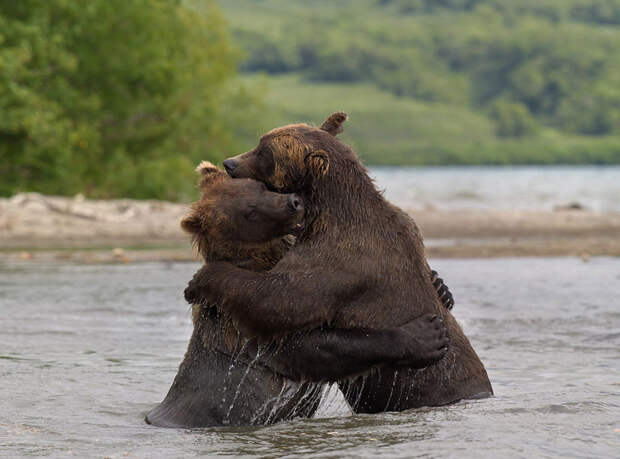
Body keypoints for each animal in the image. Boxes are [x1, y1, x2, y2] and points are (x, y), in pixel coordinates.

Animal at [148, 162, 452, 428]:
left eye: (260, 186)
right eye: (249, 212)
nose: (293, 202)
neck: (263, 259)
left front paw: (441, 287)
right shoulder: (243, 330)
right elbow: (316, 347)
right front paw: (426, 335)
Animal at [184, 112, 494, 414]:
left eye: (264, 152)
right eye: (261, 142)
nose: (230, 163)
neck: (326, 210)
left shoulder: (339, 259)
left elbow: (280, 300)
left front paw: (199, 282)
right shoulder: (408, 227)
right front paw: (439, 286)